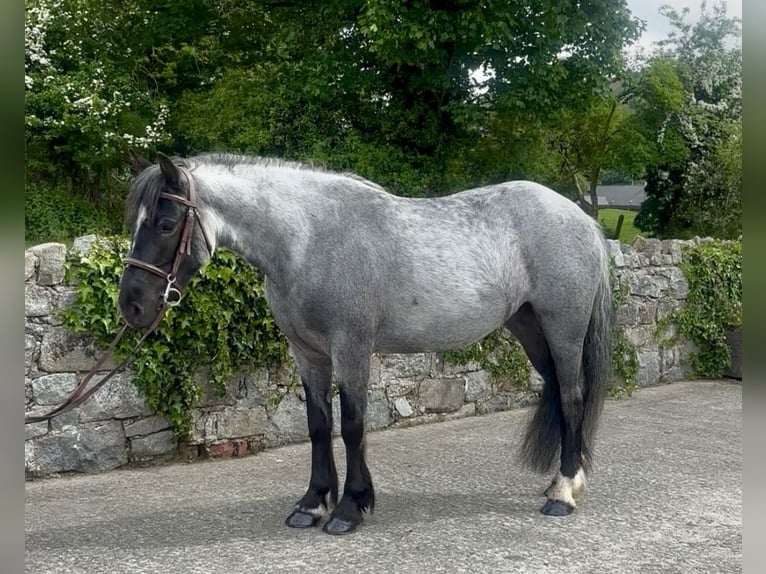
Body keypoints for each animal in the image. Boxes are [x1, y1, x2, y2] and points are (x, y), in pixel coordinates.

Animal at [118, 150, 613, 535]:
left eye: (165, 223)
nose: (132, 306)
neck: (309, 239)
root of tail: (582, 219)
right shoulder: (308, 354)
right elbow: (319, 425)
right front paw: (312, 504)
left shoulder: (351, 348)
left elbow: (353, 425)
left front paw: (348, 508)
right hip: (530, 328)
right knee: (559, 393)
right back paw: (562, 482)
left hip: (563, 328)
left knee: (572, 397)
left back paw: (563, 494)